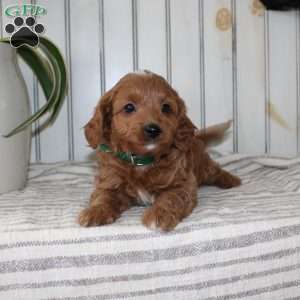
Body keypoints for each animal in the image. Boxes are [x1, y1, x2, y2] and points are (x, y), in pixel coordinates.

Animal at [78, 71, 240, 232]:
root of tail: (197, 138)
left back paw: (231, 180)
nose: (153, 129)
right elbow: (103, 196)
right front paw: (95, 212)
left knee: (215, 170)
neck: (142, 161)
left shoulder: (182, 184)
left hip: (203, 165)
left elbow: (171, 198)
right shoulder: (110, 181)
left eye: (166, 107)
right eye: (129, 107)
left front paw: (159, 215)